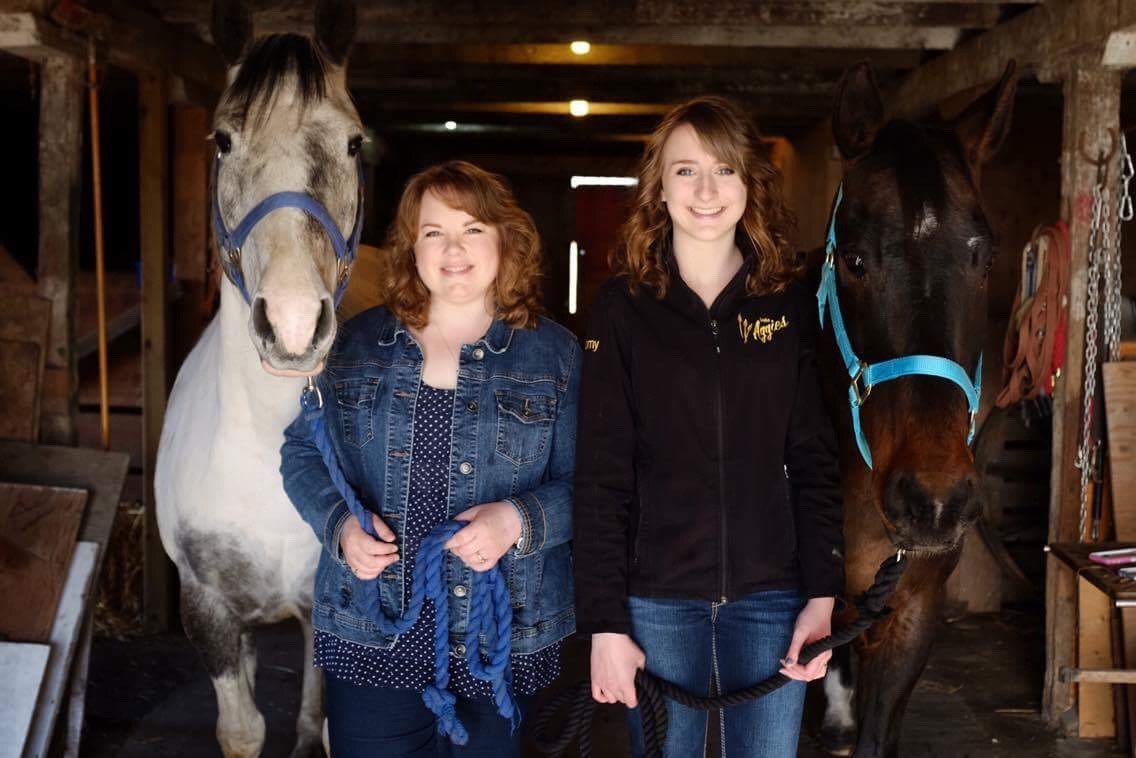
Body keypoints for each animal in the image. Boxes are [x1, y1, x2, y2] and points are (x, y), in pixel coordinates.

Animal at [155, 2, 358, 754]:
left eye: (353, 143)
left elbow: (312, 728)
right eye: (221, 139)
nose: (295, 322)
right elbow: (242, 728)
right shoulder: (207, 608)